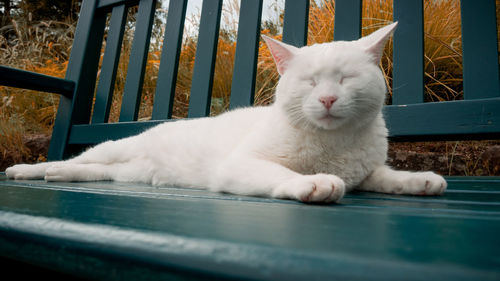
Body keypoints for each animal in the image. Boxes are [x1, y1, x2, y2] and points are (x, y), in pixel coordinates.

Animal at [6, 21, 446, 201]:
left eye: (345, 79)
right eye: (310, 82)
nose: (327, 100)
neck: (331, 145)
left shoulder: (365, 171)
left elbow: (384, 177)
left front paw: (417, 180)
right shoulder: (239, 165)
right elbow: (281, 174)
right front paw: (314, 182)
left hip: (126, 171)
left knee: (98, 172)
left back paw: (58, 175)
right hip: (115, 147)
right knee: (79, 159)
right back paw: (30, 171)